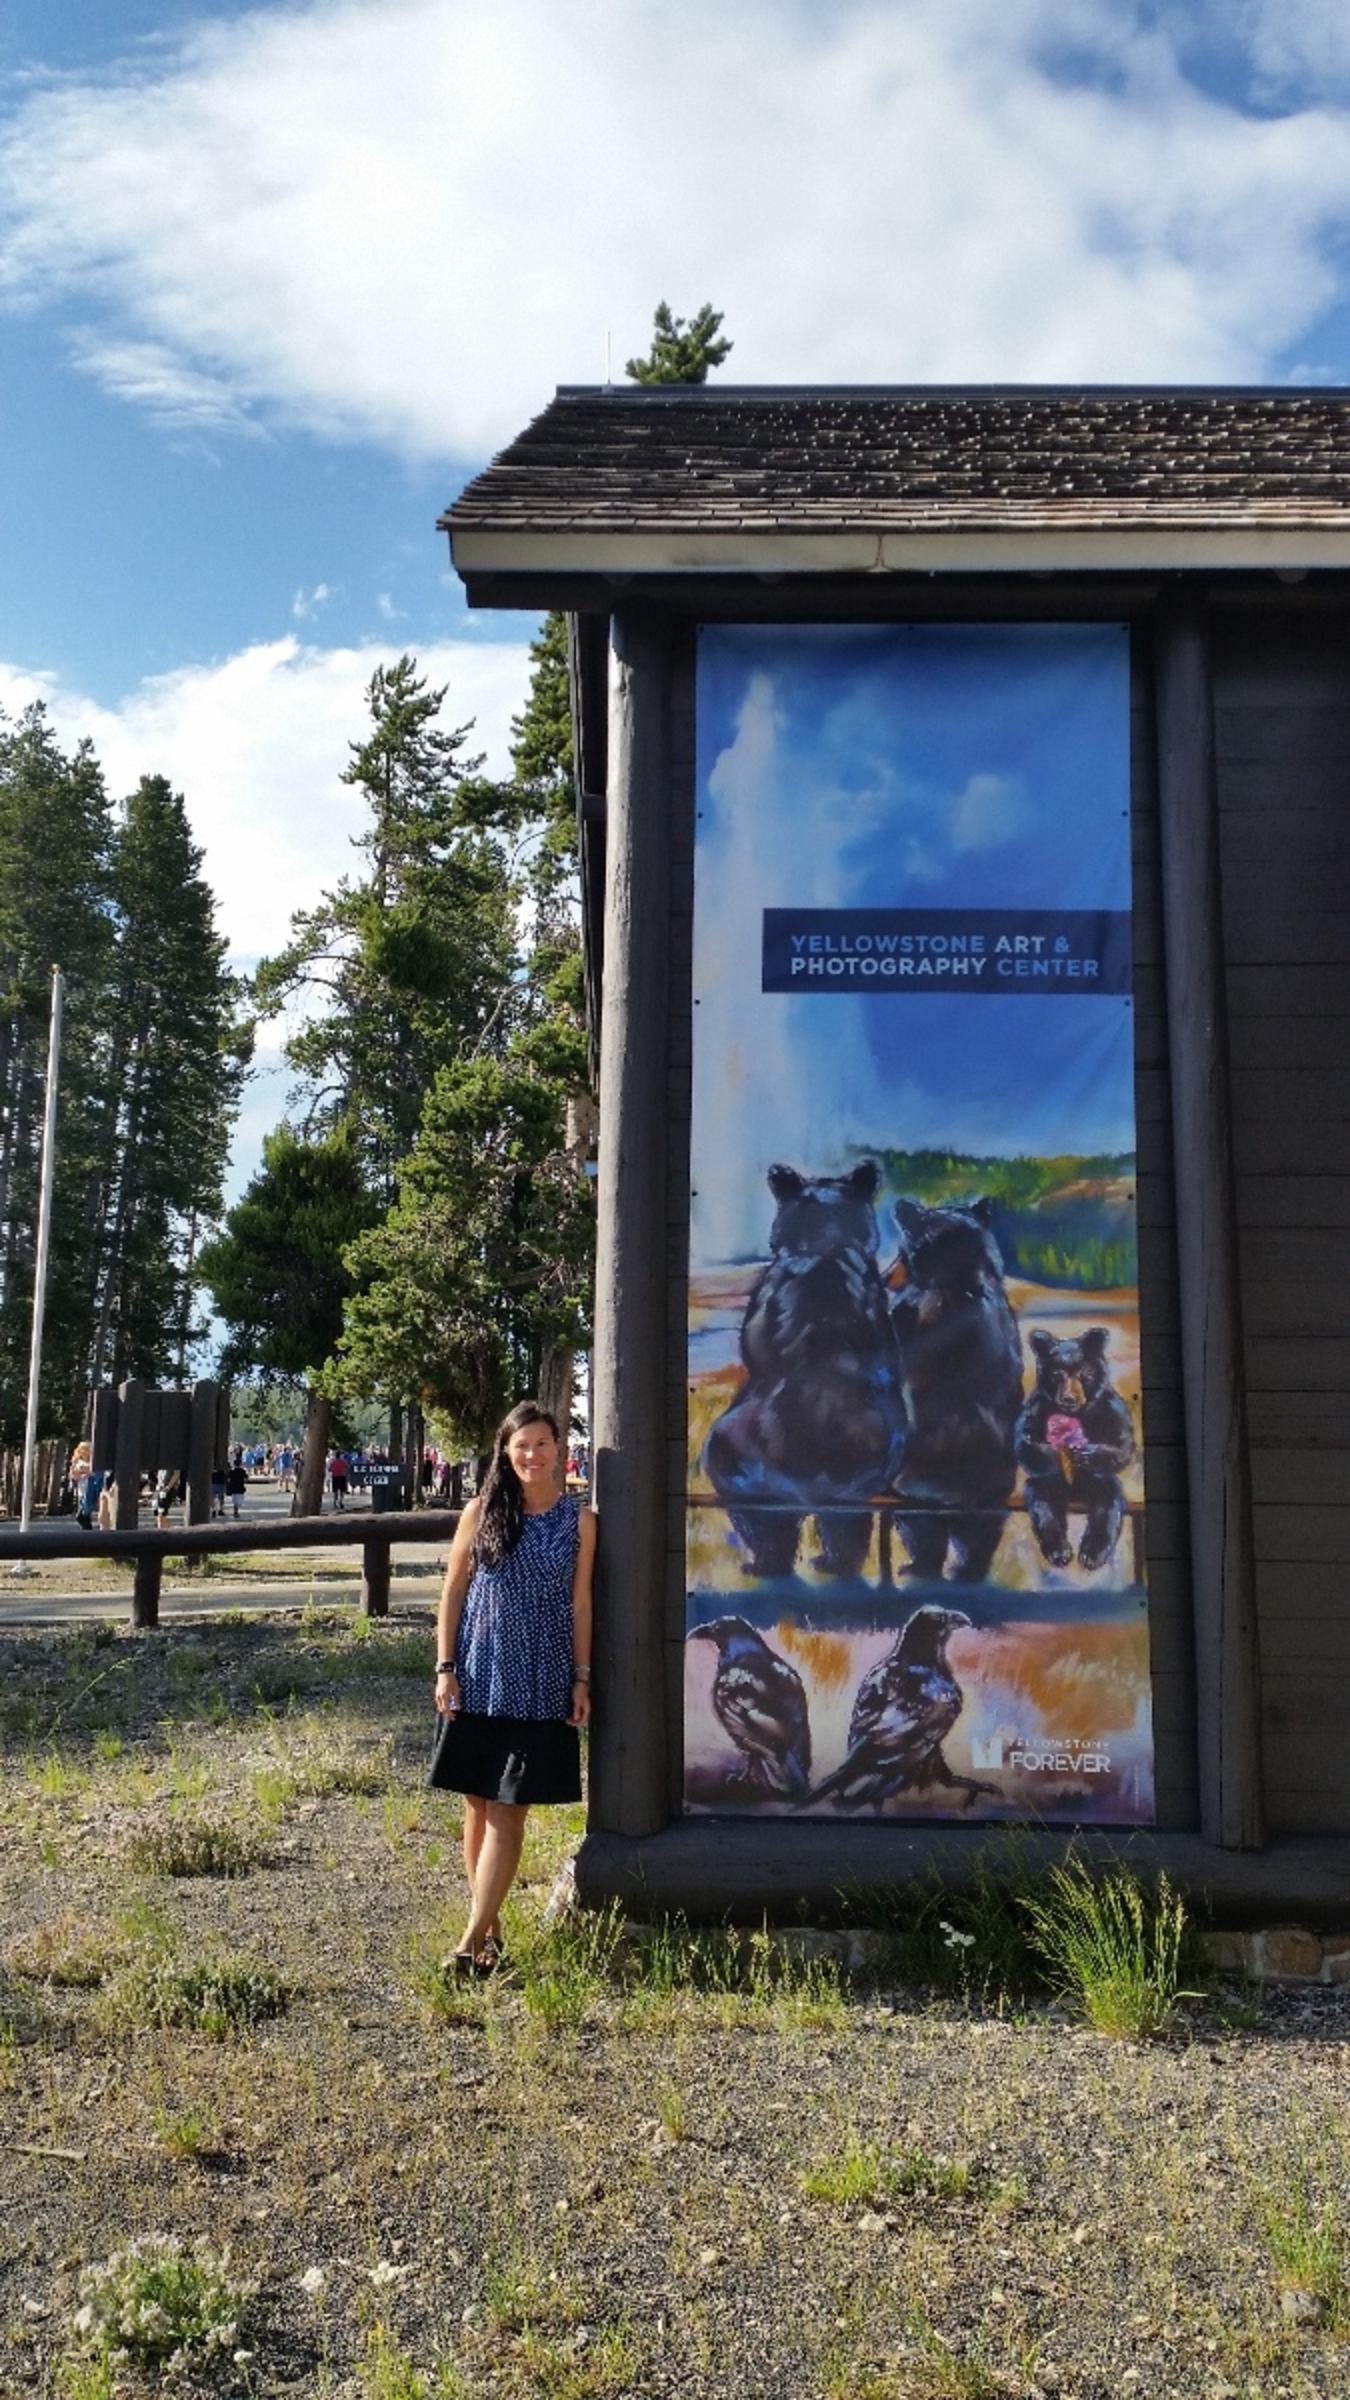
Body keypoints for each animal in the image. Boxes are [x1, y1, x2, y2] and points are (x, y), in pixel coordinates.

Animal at [706, 1156, 903, 1574]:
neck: (827, 1243)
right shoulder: (879, 1306)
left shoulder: (768, 1293)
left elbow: (755, 1340)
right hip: (858, 1483)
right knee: (847, 1528)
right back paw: (833, 1563)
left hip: (738, 1455)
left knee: (762, 1522)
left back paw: (763, 1562)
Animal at [1013, 1315, 1129, 1574]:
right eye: (1057, 1374)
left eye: (1082, 1372)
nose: (1068, 1398)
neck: (1076, 1415)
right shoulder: (1037, 1407)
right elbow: (1025, 1445)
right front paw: (1058, 1453)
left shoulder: (1109, 1407)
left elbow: (1123, 1445)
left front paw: (1085, 1453)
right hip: (1045, 1484)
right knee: (1041, 1500)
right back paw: (1060, 1551)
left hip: (1100, 1482)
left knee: (1108, 1501)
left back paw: (1092, 1554)